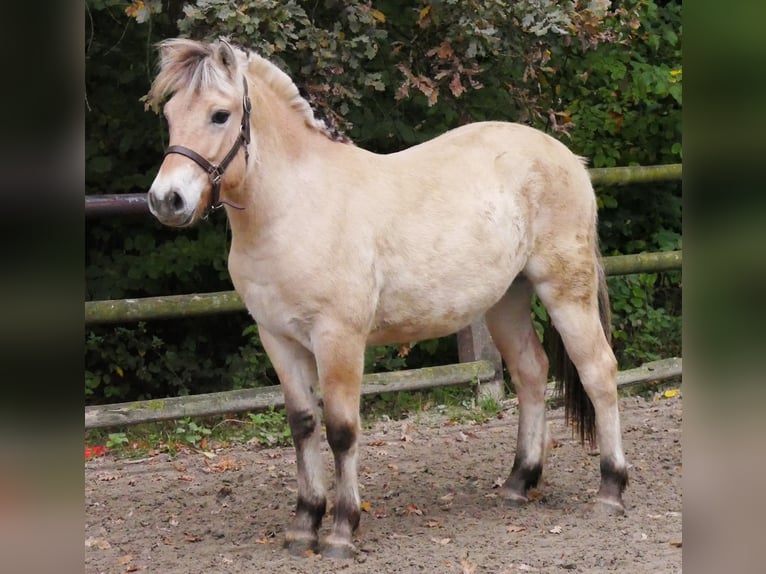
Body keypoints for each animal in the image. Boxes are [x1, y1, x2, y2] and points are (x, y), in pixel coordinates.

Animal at [146, 38, 628, 559]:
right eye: (170, 114)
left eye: (220, 114)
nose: (167, 200)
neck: (294, 206)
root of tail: (566, 157)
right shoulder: (278, 339)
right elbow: (302, 426)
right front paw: (303, 525)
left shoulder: (338, 338)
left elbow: (341, 430)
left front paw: (341, 529)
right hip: (507, 301)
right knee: (531, 373)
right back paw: (519, 482)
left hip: (565, 291)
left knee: (599, 372)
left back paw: (611, 489)